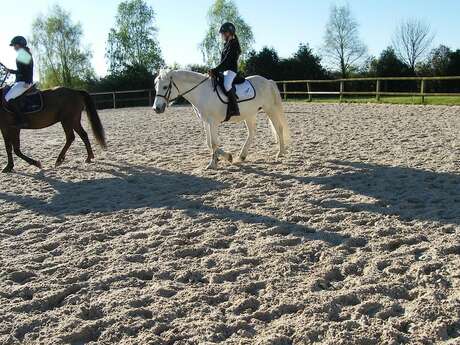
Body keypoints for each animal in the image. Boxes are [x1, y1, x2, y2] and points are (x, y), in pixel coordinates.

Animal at [155, 68, 292, 168]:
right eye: (156, 87)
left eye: (165, 87)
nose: (157, 108)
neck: (201, 92)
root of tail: (268, 81)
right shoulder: (206, 122)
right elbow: (209, 143)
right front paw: (222, 158)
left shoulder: (213, 122)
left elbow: (214, 143)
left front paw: (214, 163)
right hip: (250, 114)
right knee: (252, 132)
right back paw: (242, 156)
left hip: (270, 109)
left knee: (278, 128)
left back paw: (280, 153)